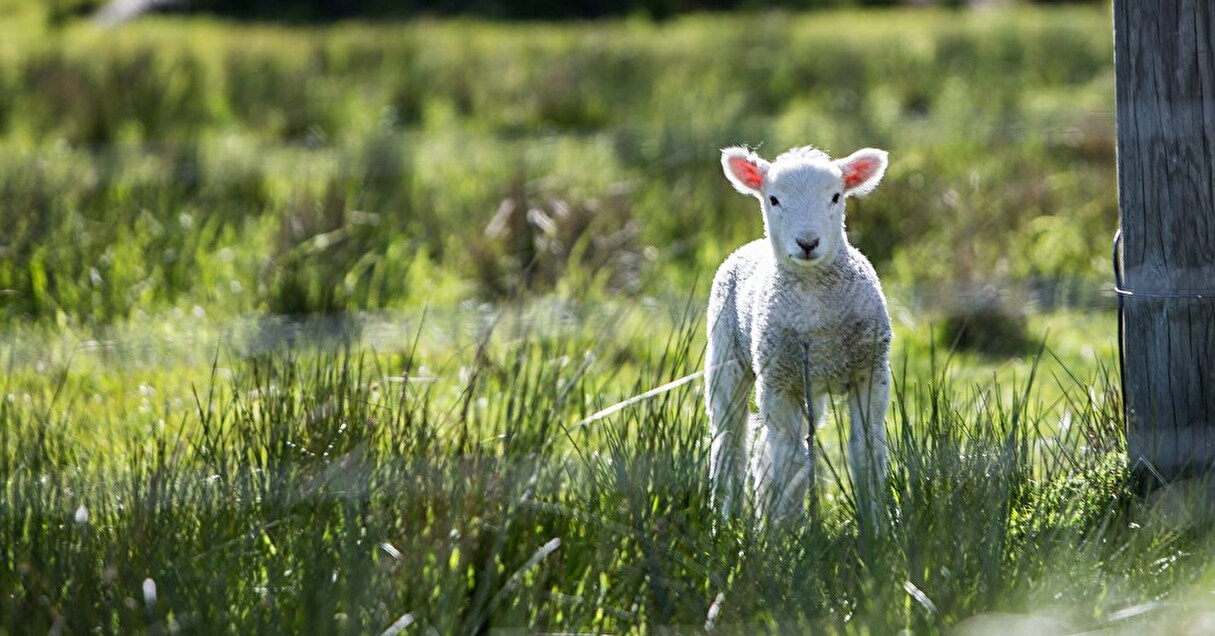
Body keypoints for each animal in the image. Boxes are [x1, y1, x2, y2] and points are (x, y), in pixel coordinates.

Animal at [704, 145, 894, 527]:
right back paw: (726, 520)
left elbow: (866, 450)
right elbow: (789, 459)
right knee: (730, 442)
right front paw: (788, 531)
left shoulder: (870, 372)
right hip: (726, 359)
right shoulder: (778, 382)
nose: (808, 243)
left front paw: (875, 526)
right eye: (774, 199)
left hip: (810, 386)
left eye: (836, 197)